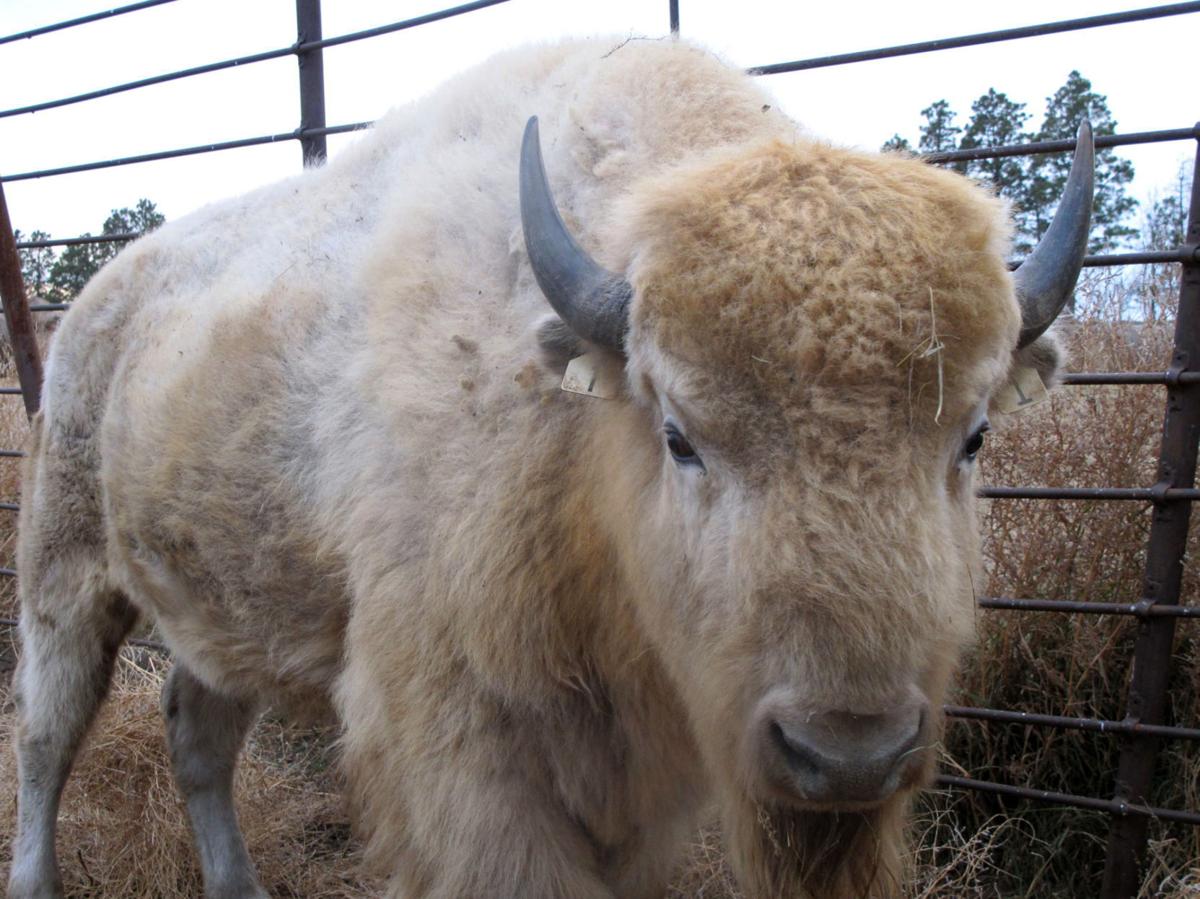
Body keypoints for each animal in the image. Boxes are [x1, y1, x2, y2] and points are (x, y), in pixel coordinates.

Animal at [9, 36, 1094, 897]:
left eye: (973, 436)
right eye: (679, 433)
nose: (849, 752)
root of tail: (100, 300)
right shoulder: (469, 750)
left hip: (218, 607)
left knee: (196, 734)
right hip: (65, 575)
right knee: (46, 735)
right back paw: (35, 879)